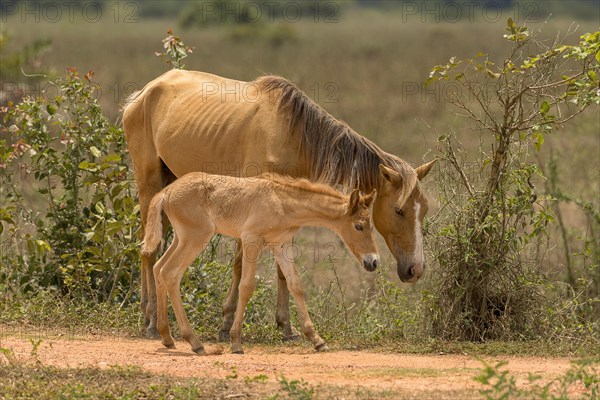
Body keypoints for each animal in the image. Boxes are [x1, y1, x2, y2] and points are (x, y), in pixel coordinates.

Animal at [142, 172, 378, 354]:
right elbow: (246, 287)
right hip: (195, 237)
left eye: (371, 225)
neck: (281, 201)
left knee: (158, 268)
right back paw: (195, 342)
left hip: (180, 238)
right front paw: (236, 341)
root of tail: (167, 192)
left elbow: (296, 285)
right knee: (170, 273)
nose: (373, 262)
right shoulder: (251, 240)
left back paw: (167, 337)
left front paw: (317, 340)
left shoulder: (281, 244)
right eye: (358, 226)